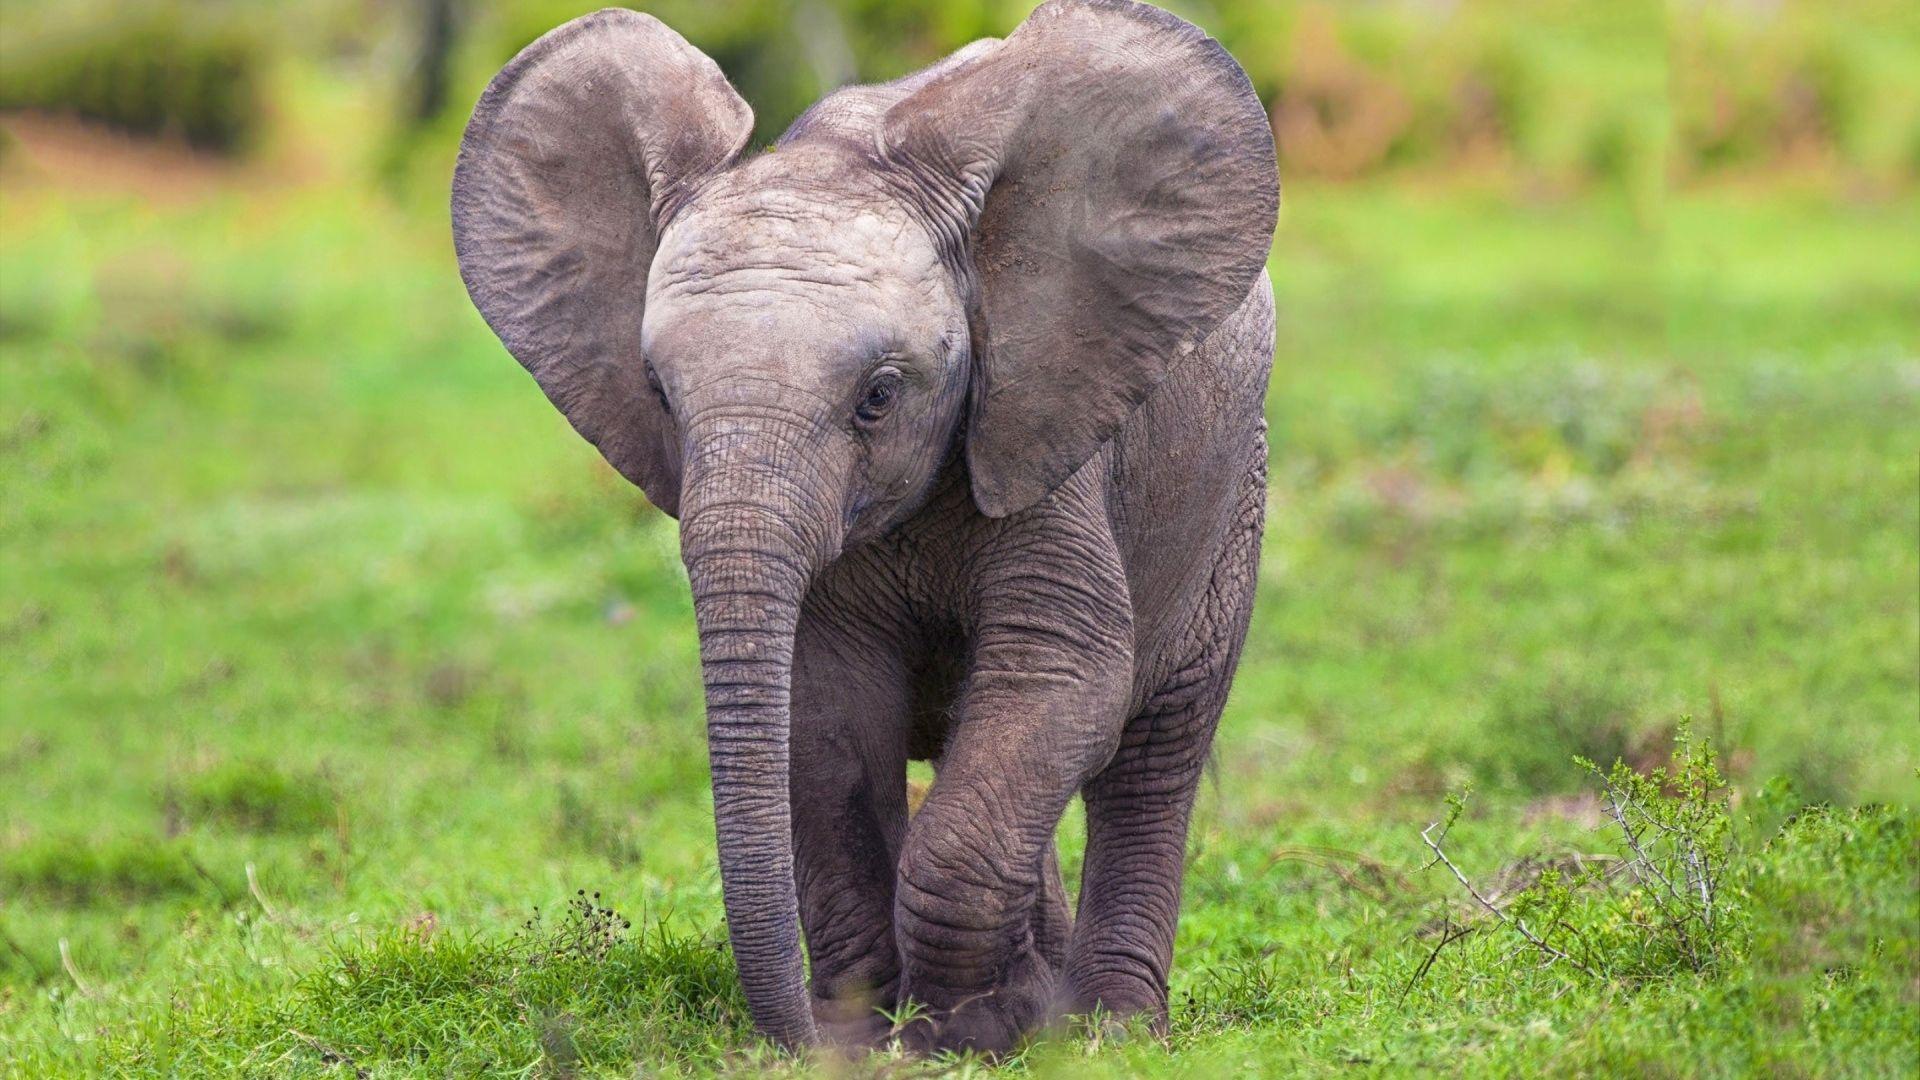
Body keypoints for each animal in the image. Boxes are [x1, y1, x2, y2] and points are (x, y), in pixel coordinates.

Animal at [452, 0, 1278, 1057]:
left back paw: (1112, 1029)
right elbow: (828, 715)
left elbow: (1061, 677)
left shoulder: (1045, 438)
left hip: (1231, 485)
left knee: (1155, 749)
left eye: (879, 397)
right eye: (660, 395)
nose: (803, 1036)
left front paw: (971, 1029)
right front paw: (882, 1033)